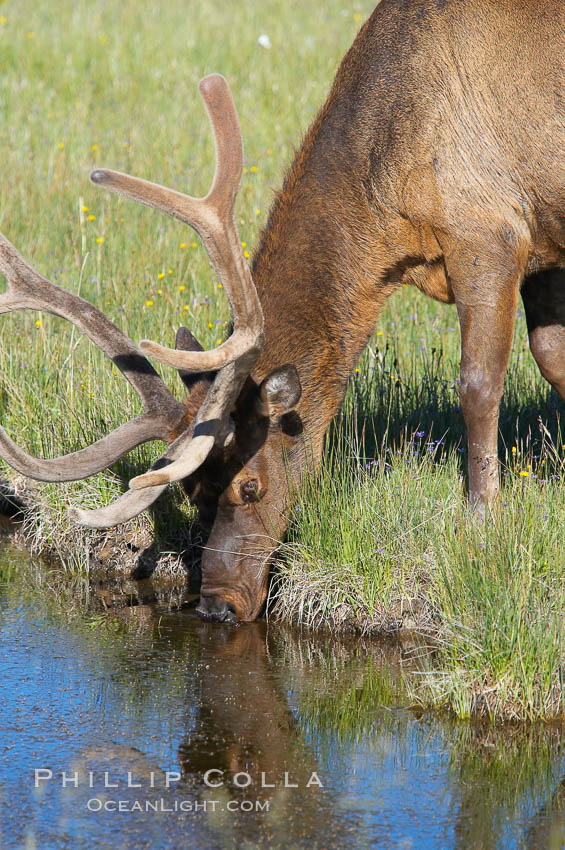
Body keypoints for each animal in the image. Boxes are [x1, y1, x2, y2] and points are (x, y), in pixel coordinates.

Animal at [1, 0, 564, 624]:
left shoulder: (489, 232)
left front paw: (481, 521)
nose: (215, 605)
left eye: (251, 485)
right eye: (194, 493)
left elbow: (479, 384)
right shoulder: (542, 244)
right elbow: (552, 357)